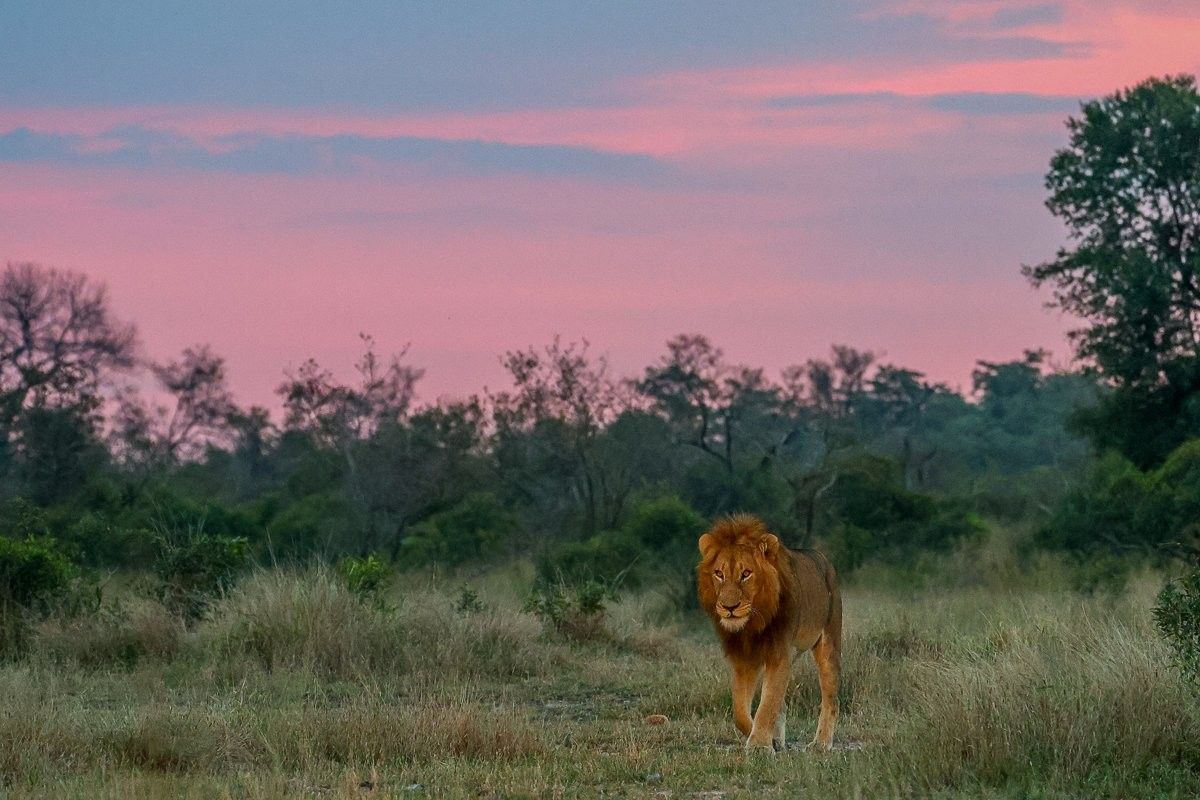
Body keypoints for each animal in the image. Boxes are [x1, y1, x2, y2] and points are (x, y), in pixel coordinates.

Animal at [697, 514, 841, 753]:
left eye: (746, 574)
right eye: (719, 574)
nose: (729, 607)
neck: (753, 624)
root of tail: (823, 558)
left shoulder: (780, 655)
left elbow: (767, 704)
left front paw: (759, 746)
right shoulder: (744, 661)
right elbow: (740, 710)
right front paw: (769, 740)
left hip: (829, 641)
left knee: (831, 697)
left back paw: (821, 744)